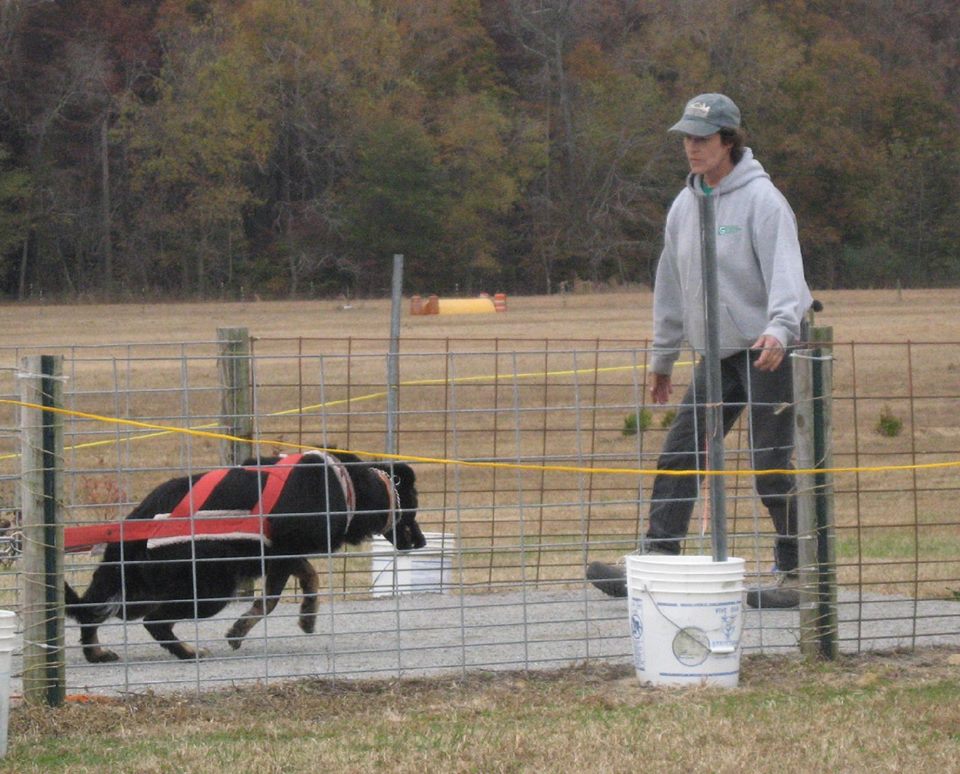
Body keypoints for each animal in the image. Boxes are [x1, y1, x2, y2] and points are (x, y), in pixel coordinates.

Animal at [65, 452, 426, 664]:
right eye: (413, 508)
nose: (422, 542)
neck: (348, 485)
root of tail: (138, 522)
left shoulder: (282, 554)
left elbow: (308, 578)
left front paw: (307, 615)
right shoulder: (283, 552)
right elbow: (272, 599)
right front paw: (243, 629)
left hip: (137, 587)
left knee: (93, 612)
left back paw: (96, 653)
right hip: (209, 590)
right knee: (154, 621)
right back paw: (188, 651)